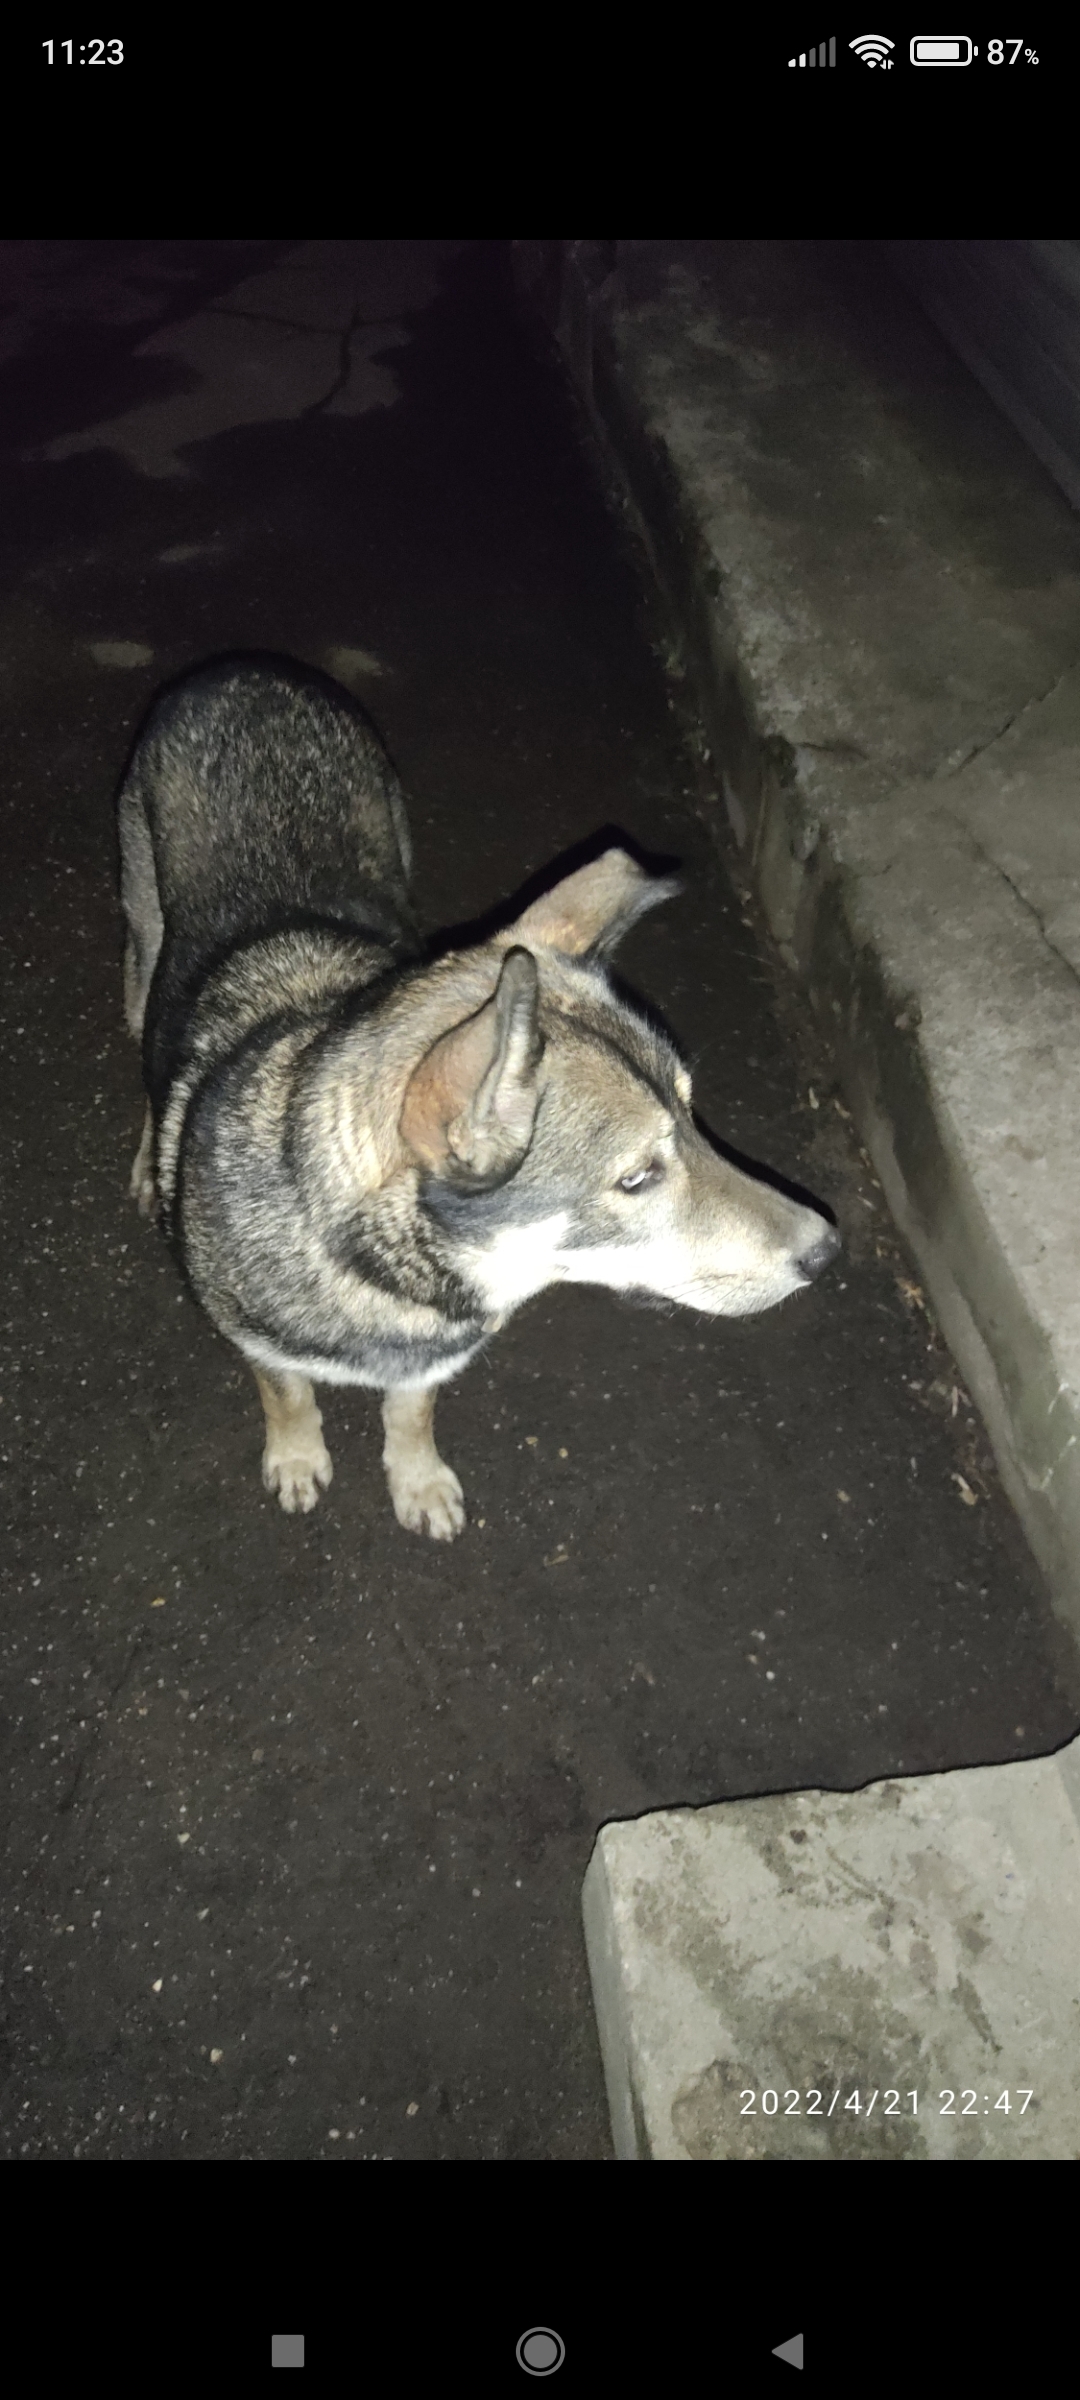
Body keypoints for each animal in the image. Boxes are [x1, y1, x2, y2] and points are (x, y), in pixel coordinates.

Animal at [120, 657, 844, 1536]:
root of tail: (243, 669)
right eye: (637, 1177)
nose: (828, 1249)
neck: (379, 1279)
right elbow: (289, 1397)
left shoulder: (432, 1362)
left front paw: (417, 1478)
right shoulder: (258, 1345)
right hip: (143, 948)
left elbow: (410, 1413)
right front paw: (296, 1456)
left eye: (693, 1113)